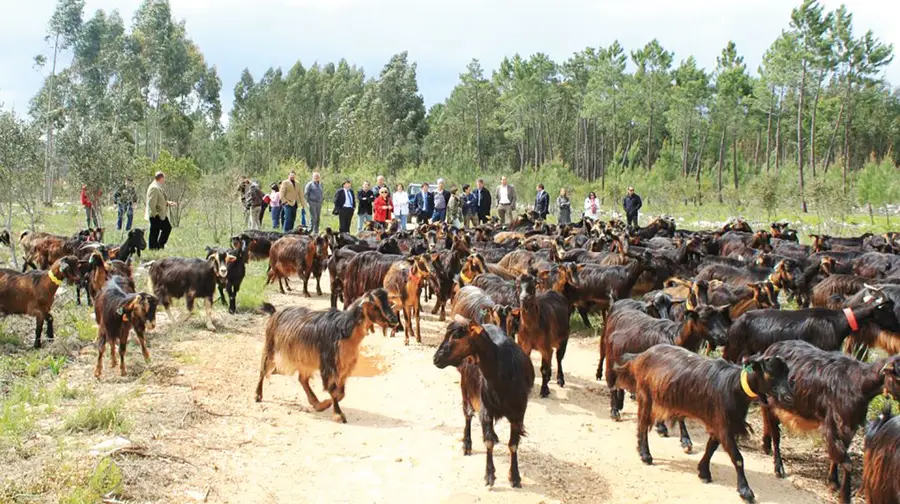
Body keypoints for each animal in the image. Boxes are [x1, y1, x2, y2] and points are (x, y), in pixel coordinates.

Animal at [255, 288, 400, 422]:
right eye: (375, 306)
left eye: (389, 302)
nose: (394, 320)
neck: (344, 332)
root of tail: (275, 312)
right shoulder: (329, 364)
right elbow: (333, 390)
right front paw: (338, 415)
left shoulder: (344, 367)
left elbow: (340, 393)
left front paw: (327, 404)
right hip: (271, 347)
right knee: (263, 370)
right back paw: (258, 395)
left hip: (303, 359)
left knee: (302, 379)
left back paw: (317, 404)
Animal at [430, 320, 532, 490]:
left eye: (456, 336)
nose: (436, 359)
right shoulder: (485, 410)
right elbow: (488, 442)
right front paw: (489, 476)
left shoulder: (518, 413)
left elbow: (513, 445)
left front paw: (515, 477)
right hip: (465, 390)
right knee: (467, 416)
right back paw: (467, 445)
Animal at [616, 346, 792, 504]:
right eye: (770, 373)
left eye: (787, 373)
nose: (788, 397)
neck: (734, 386)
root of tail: (641, 356)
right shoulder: (724, 425)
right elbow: (737, 458)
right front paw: (745, 492)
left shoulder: (719, 423)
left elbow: (711, 447)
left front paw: (703, 472)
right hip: (646, 396)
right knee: (642, 425)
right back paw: (645, 455)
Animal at [760, 340, 900, 502]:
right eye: (899, 377)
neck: (858, 382)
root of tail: (772, 348)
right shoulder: (834, 423)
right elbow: (845, 461)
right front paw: (844, 495)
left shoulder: (849, 426)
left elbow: (837, 455)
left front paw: (833, 482)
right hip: (772, 402)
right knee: (775, 434)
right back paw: (778, 468)